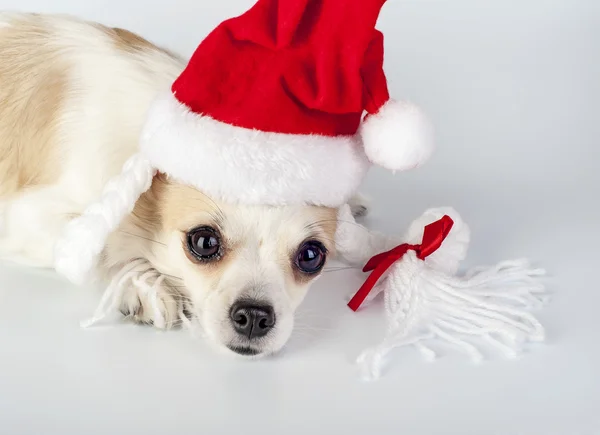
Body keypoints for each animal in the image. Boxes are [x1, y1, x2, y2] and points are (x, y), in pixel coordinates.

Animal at [0, 12, 366, 358]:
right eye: (204, 242)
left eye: (311, 256)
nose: (254, 316)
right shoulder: (26, 219)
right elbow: (106, 247)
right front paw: (147, 285)